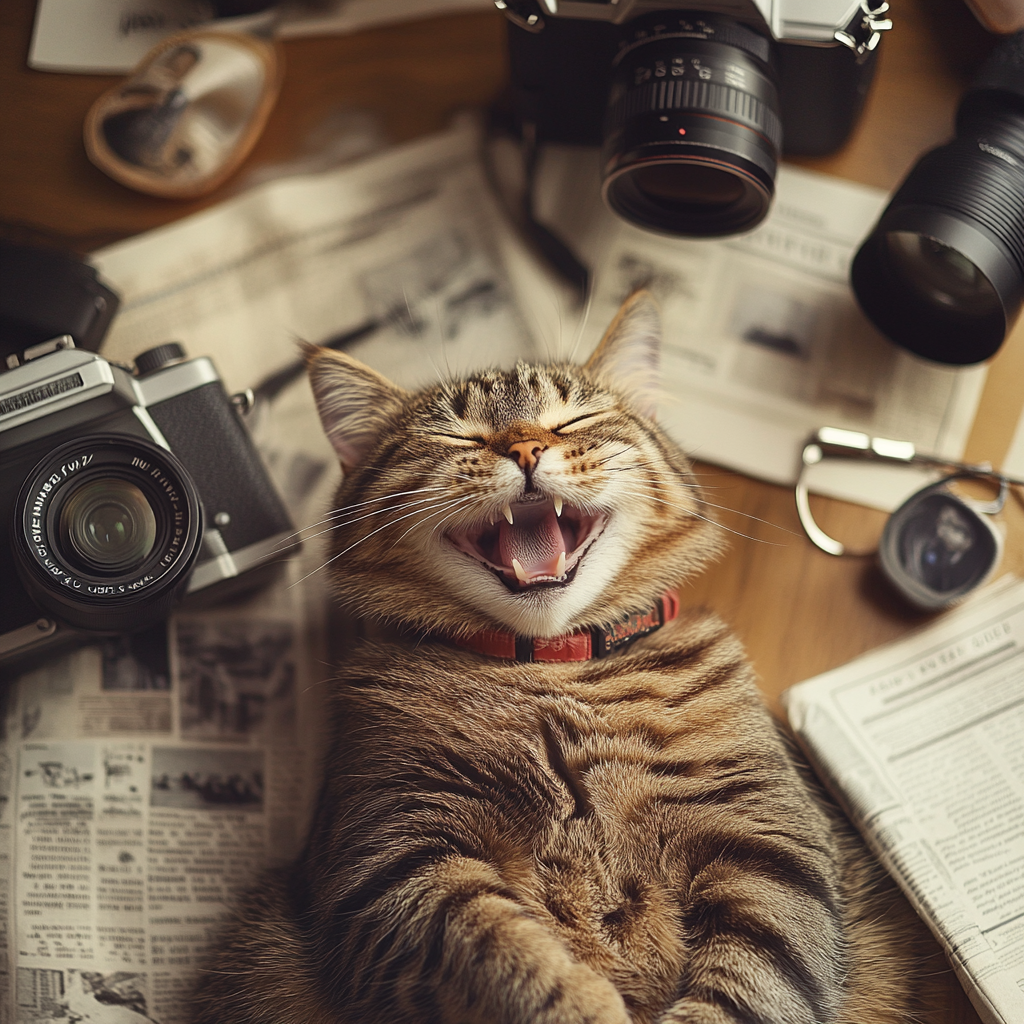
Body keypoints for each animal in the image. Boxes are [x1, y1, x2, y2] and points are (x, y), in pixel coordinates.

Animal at [188, 292, 933, 1019]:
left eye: (576, 419)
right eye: (457, 434)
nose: (524, 448)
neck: (556, 666)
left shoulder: (769, 847)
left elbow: (751, 987)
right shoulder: (390, 860)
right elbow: (504, 953)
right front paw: (582, 1003)